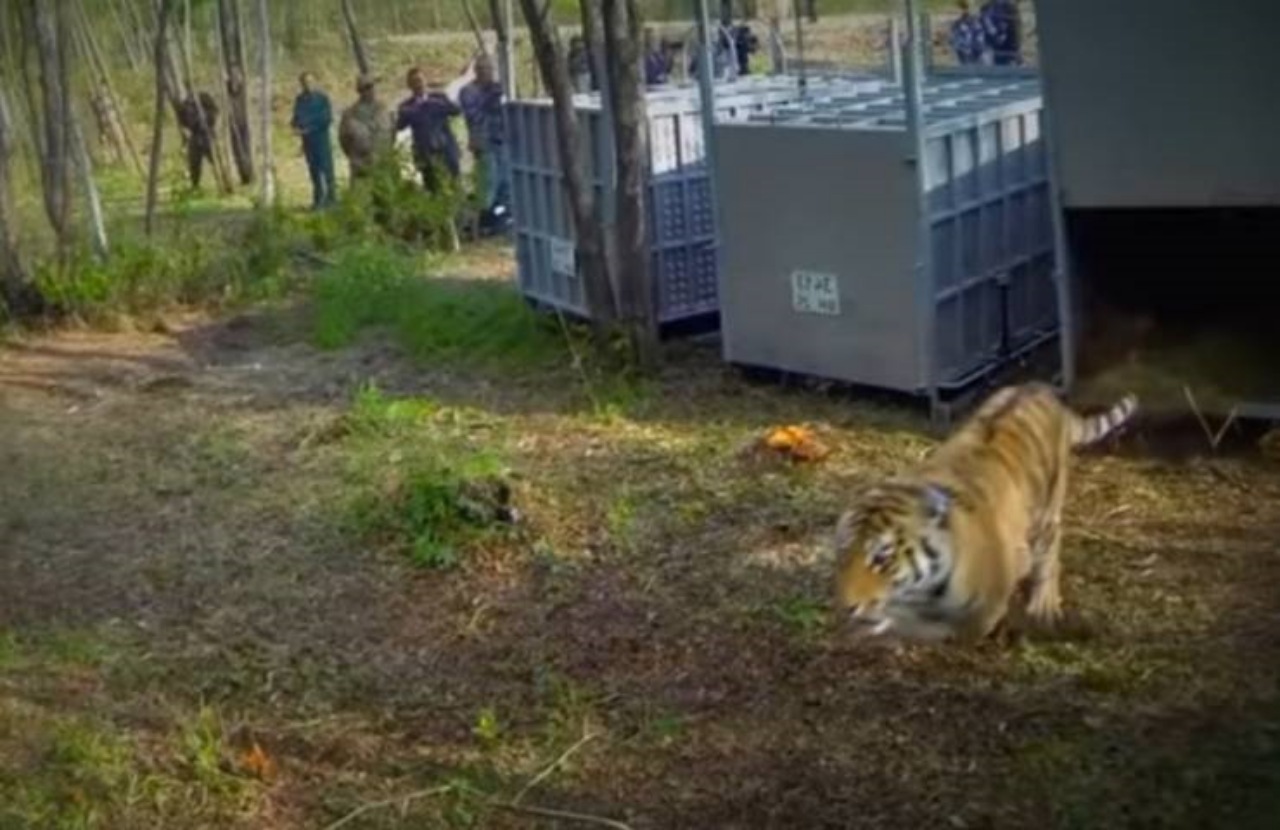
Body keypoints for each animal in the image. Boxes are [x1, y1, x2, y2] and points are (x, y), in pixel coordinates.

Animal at [829, 379, 1141, 645]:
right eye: (844, 554)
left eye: (882, 558)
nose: (847, 607)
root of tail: (1040, 389)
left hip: (1046, 510)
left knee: (1050, 551)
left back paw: (1043, 603)